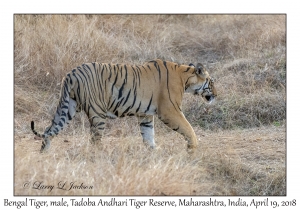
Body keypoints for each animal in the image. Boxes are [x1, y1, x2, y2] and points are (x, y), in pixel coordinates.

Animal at [30, 59, 217, 153]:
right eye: (211, 82)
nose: (216, 95)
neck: (185, 77)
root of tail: (71, 74)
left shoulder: (145, 115)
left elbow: (148, 134)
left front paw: (153, 151)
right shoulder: (170, 111)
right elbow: (187, 127)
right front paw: (193, 146)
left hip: (68, 107)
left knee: (49, 129)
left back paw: (44, 153)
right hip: (97, 113)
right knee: (95, 139)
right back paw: (102, 156)